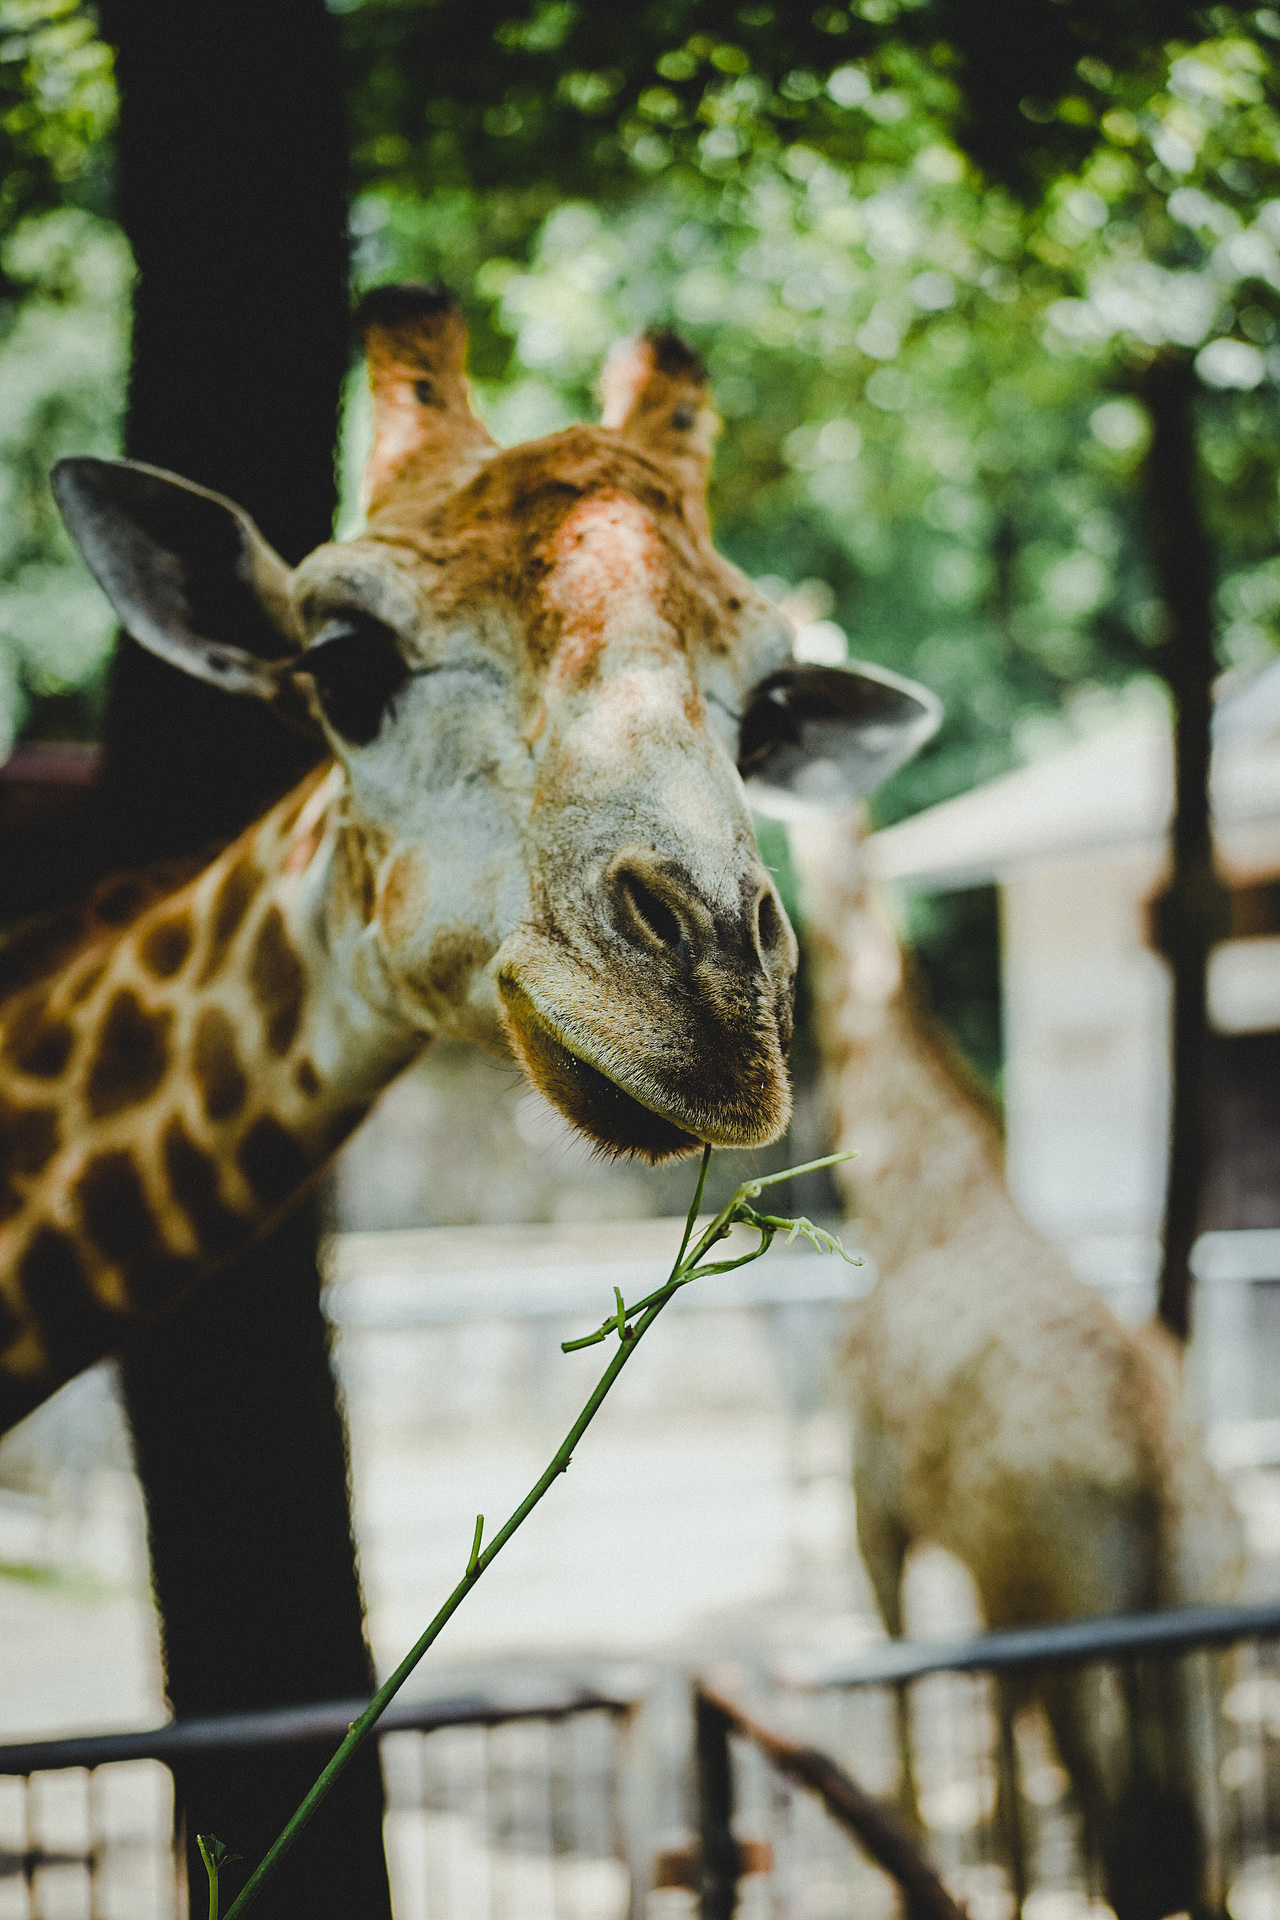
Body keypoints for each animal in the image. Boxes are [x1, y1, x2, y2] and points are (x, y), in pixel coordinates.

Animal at [792, 810, 1245, 1920]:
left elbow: (910, 1695)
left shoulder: (877, 1508)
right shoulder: (989, 1580)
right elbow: (991, 1722)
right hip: (1195, 1644)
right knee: (1200, 1858)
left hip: (1072, 1616)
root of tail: (1158, 1487)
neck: (918, 1193)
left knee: (1131, 1853)